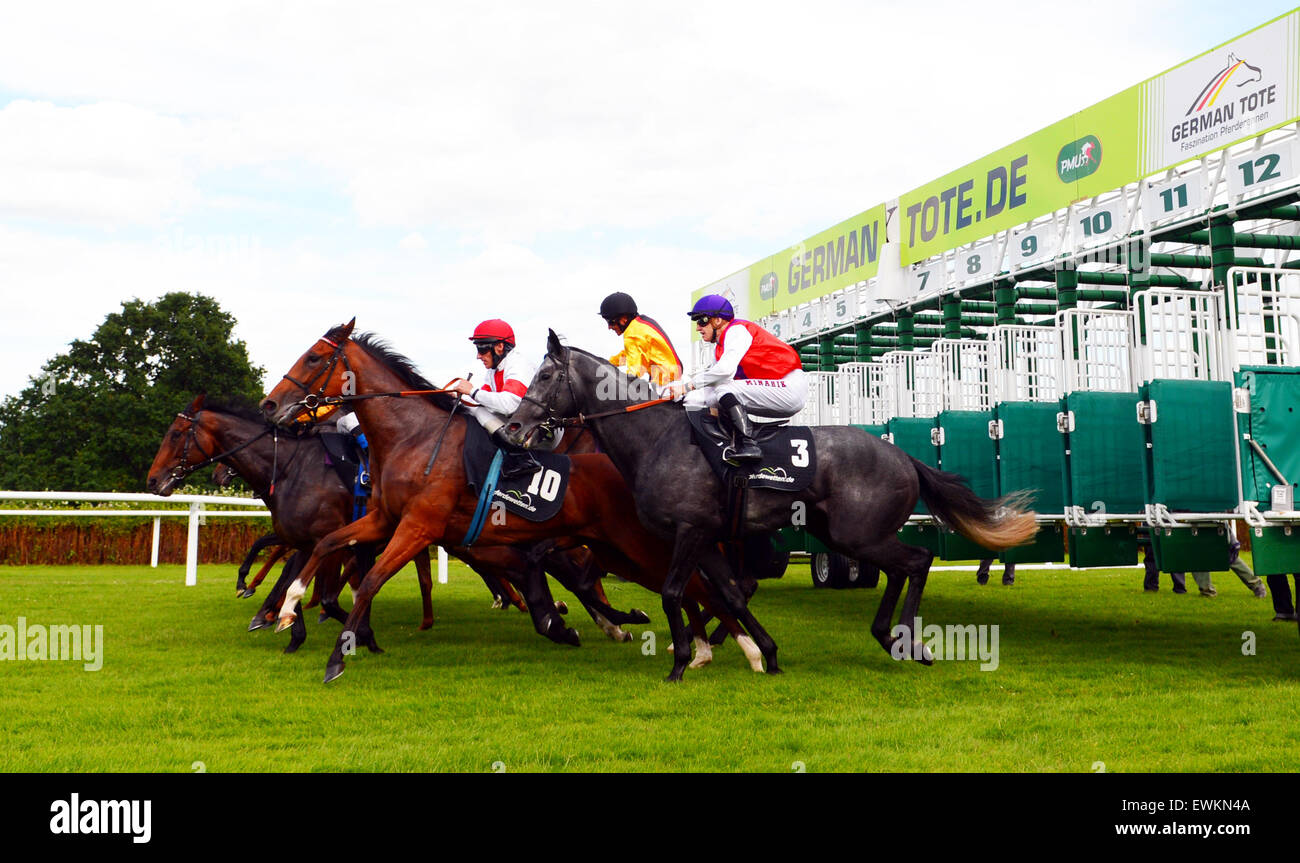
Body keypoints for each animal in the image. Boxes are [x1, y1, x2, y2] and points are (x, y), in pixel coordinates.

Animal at [256, 319, 759, 686]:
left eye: (315, 356)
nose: (269, 405)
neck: (413, 437)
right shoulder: (384, 519)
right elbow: (327, 546)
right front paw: (287, 608)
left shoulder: (418, 527)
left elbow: (369, 582)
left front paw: (336, 659)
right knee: (689, 585)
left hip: (635, 546)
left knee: (693, 586)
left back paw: (730, 649)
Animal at [501, 330, 1040, 681]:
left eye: (545, 375)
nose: (514, 428)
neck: (657, 439)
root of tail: (902, 454)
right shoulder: (705, 536)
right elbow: (731, 595)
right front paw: (767, 654)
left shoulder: (688, 531)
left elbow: (674, 593)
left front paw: (679, 663)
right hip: (840, 534)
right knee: (900, 568)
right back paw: (888, 636)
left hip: (856, 534)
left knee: (918, 560)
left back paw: (908, 641)